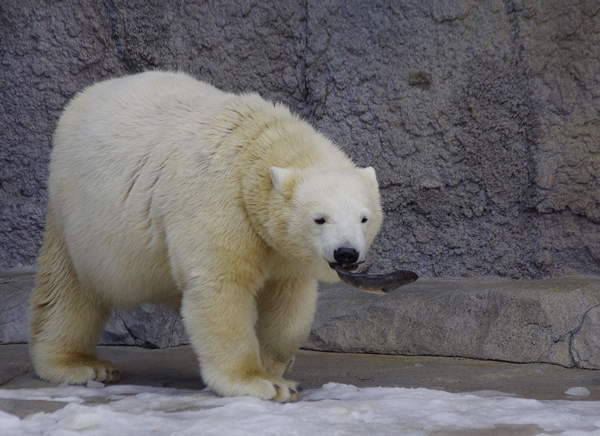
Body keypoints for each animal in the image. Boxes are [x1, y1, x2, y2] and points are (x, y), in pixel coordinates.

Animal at [28, 70, 382, 400]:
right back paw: (81, 365)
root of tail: (87, 95)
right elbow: (222, 288)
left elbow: (290, 302)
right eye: (319, 219)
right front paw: (262, 383)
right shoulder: (219, 201)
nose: (346, 253)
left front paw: (275, 367)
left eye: (364, 218)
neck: (255, 147)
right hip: (77, 214)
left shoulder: (280, 245)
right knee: (68, 289)